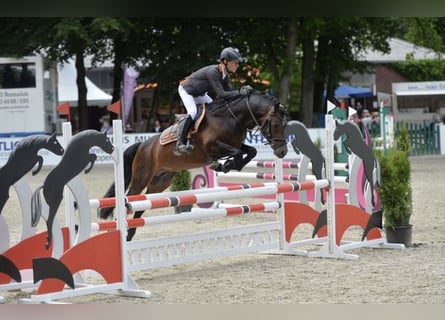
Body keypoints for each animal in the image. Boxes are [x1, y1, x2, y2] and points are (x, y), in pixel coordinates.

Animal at [98, 90, 288, 240]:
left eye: (285, 125)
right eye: (275, 124)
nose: (282, 152)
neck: (232, 117)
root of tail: (143, 145)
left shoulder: (236, 144)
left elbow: (251, 151)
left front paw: (230, 165)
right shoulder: (212, 147)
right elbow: (236, 153)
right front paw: (223, 165)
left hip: (161, 181)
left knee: (143, 203)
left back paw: (130, 233)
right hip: (141, 177)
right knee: (130, 198)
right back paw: (120, 228)